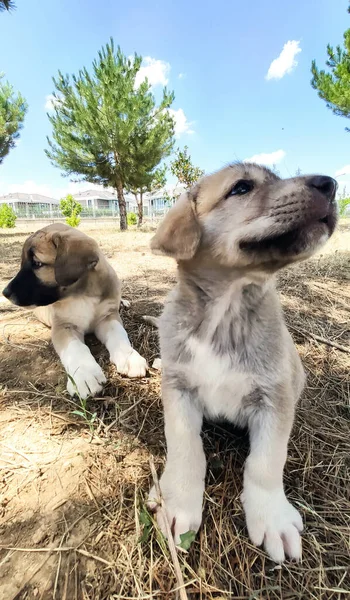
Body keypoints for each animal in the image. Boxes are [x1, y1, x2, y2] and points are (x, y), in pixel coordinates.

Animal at [3, 223, 148, 396]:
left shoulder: (107, 317)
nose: (5, 292)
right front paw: (85, 375)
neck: (83, 294)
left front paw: (129, 356)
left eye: (37, 264)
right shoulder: (63, 326)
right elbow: (76, 348)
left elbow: (119, 335)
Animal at [147, 163, 336, 564]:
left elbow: (266, 462)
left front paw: (271, 515)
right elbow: (185, 446)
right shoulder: (178, 390)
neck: (225, 316)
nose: (331, 184)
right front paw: (178, 499)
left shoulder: (275, 398)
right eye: (242, 188)